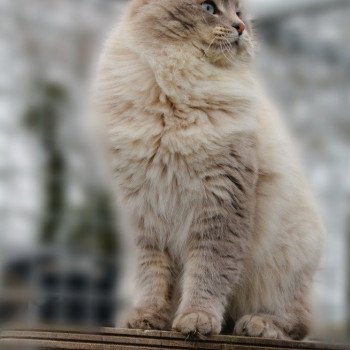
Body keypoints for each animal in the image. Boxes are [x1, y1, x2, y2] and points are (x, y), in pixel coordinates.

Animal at [95, 0, 326, 340]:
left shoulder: (220, 204)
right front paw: (147, 319)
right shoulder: (146, 214)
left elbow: (208, 273)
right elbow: (152, 278)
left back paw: (256, 325)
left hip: (283, 266)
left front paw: (196, 319)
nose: (239, 28)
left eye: (239, 14)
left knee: (298, 323)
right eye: (208, 7)